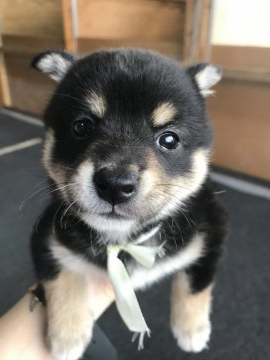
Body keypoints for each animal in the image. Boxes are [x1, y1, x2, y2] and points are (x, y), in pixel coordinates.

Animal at [30, 49, 227, 360]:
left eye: (169, 139)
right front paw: (67, 337)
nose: (115, 185)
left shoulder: (211, 232)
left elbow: (196, 283)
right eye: (82, 126)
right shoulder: (46, 236)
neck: (125, 239)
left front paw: (192, 329)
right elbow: (61, 279)